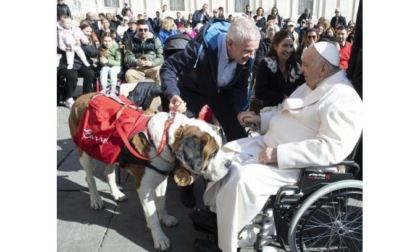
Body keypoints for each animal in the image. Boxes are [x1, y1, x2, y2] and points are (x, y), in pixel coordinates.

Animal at [68, 92, 230, 250]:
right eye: (213, 153)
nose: (229, 163)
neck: (165, 139)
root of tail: (81, 98)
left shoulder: (161, 179)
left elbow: (162, 202)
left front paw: (166, 219)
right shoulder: (143, 187)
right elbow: (152, 216)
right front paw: (160, 239)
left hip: (110, 154)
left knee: (108, 173)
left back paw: (117, 194)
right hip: (85, 153)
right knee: (90, 178)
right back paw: (96, 200)